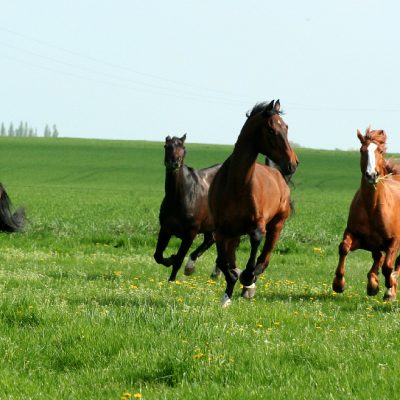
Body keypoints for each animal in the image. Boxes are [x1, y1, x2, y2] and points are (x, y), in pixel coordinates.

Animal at [154, 134, 222, 282]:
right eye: (167, 146)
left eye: (183, 147)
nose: (174, 163)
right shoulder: (166, 228)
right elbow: (158, 256)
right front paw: (170, 259)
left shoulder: (190, 233)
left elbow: (179, 259)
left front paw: (171, 281)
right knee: (211, 240)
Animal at [208, 101, 298, 306]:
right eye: (271, 130)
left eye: (286, 127)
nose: (293, 163)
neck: (237, 185)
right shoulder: (221, 229)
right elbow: (223, 261)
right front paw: (227, 293)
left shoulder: (259, 223)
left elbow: (256, 239)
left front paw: (248, 277)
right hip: (233, 234)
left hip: (278, 223)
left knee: (265, 255)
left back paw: (250, 281)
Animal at [332, 128, 400, 300]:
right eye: (362, 150)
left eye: (380, 151)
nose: (371, 175)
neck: (372, 207)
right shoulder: (356, 235)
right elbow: (344, 248)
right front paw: (338, 284)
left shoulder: (394, 240)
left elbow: (388, 266)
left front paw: (389, 288)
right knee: (378, 257)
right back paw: (373, 284)